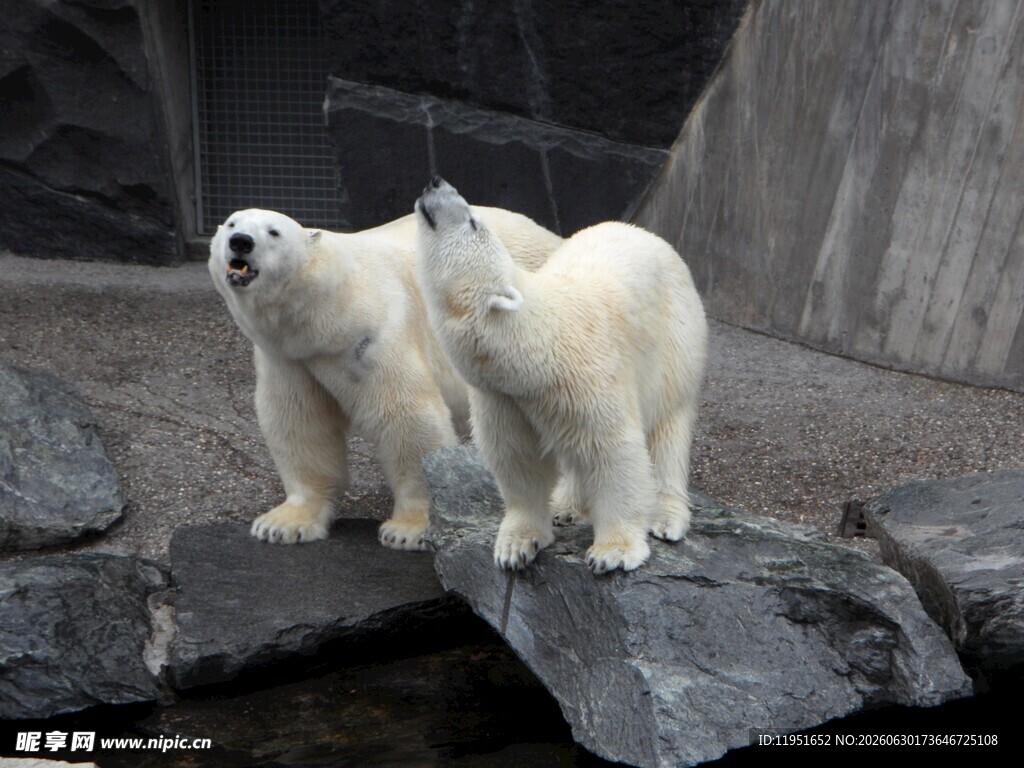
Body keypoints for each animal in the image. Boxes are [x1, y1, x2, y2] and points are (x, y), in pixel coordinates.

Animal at [208, 205, 562, 550]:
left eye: (274, 232)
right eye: (232, 223)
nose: (240, 242)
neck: (329, 310)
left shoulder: (373, 333)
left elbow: (406, 420)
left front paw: (408, 530)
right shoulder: (289, 358)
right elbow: (300, 423)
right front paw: (282, 524)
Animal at [415, 177, 708, 574]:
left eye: (474, 222)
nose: (435, 181)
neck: (536, 347)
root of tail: (648, 234)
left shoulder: (588, 377)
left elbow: (614, 451)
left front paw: (612, 552)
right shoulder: (503, 398)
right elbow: (517, 459)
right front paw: (516, 545)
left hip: (674, 342)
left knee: (668, 429)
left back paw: (665, 517)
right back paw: (566, 506)